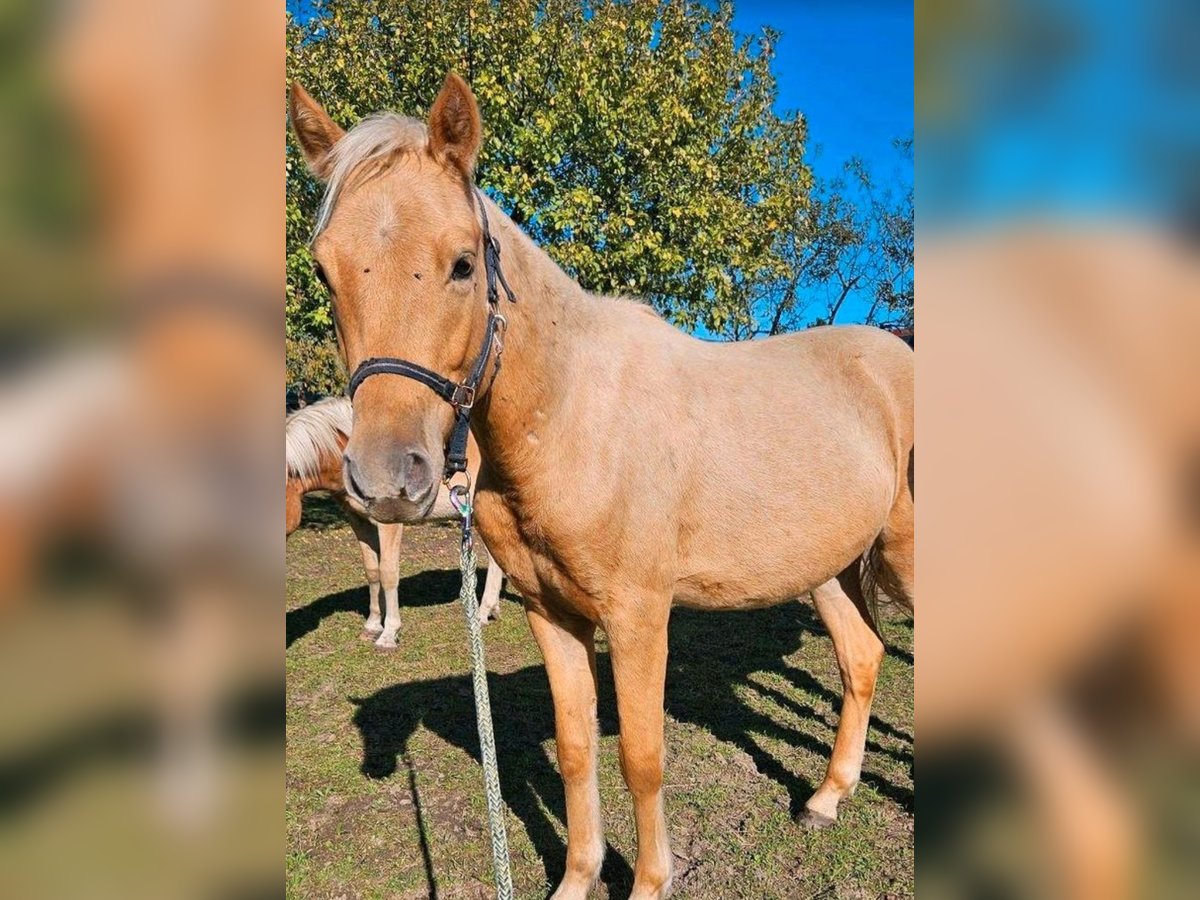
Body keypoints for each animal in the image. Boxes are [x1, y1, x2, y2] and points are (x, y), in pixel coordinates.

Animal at [285, 396, 501, 648]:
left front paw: (388, 634)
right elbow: (372, 571)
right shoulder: (359, 521)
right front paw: (372, 625)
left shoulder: (389, 524)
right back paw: (488, 610)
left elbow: (388, 572)